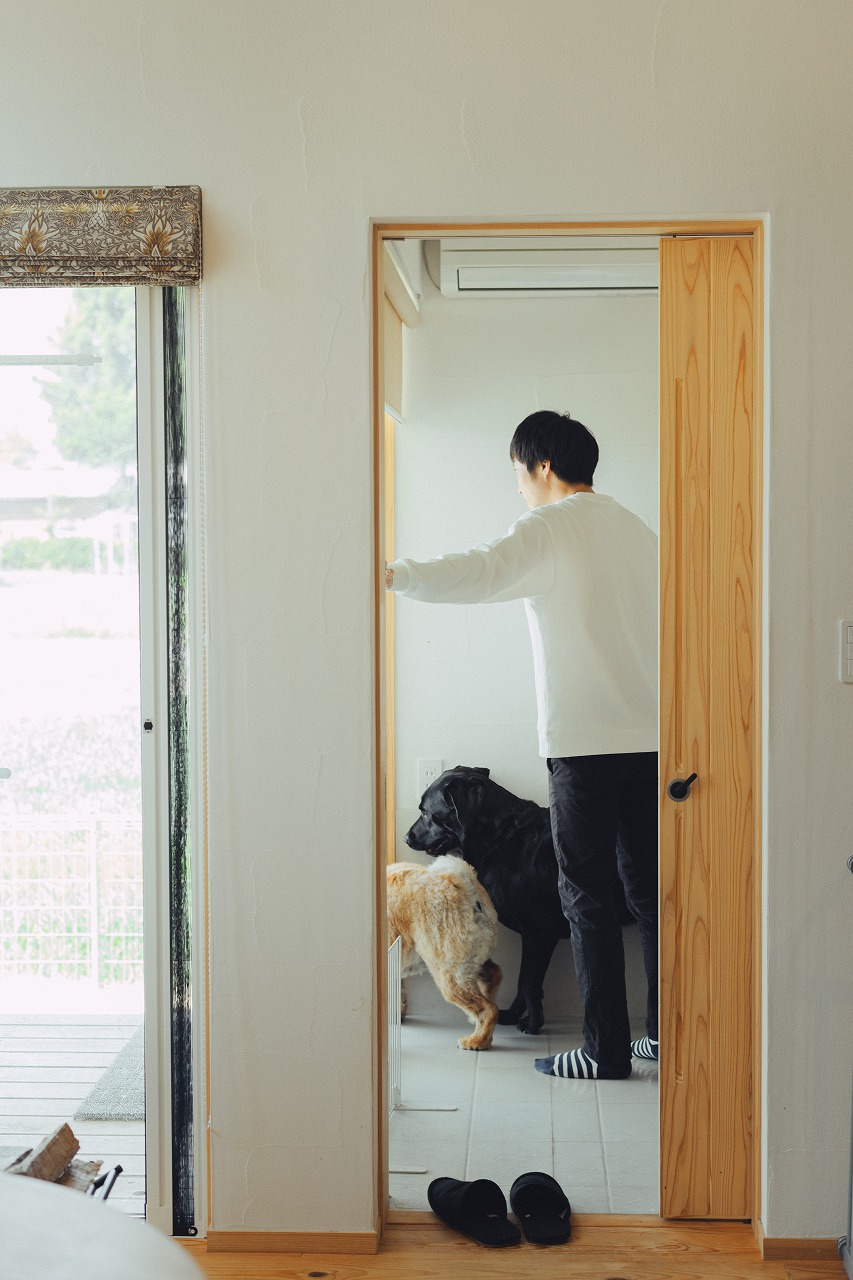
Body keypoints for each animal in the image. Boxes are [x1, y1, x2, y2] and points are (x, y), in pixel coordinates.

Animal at [384, 849, 499, 1049]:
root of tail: (461, 881)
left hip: (449, 974)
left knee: (489, 1010)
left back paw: (476, 1041)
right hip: (468, 960)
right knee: (493, 974)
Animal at [404, 762, 630, 1034]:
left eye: (426, 813)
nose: (406, 838)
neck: (499, 838)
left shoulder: (539, 931)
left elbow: (528, 981)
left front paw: (532, 1024)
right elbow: (526, 982)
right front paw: (514, 1015)